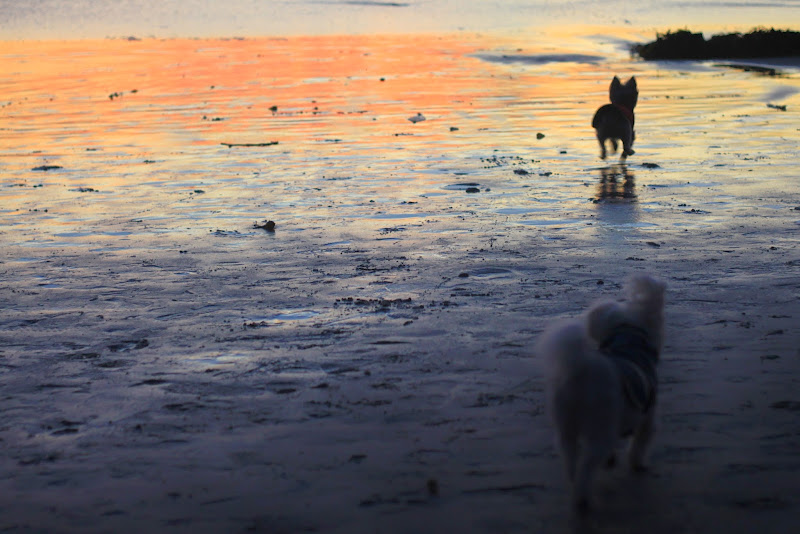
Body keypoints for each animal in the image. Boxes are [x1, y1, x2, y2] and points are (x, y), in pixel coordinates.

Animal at [540, 278, 664, 512]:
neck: (628, 341)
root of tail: (581, 369)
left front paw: (612, 460)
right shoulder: (647, 416)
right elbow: (639, 444)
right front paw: (637, 464)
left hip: (566, 426)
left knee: (571, 460)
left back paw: (576, 487)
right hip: (599, 428)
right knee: (586, 466)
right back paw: (582, 500)